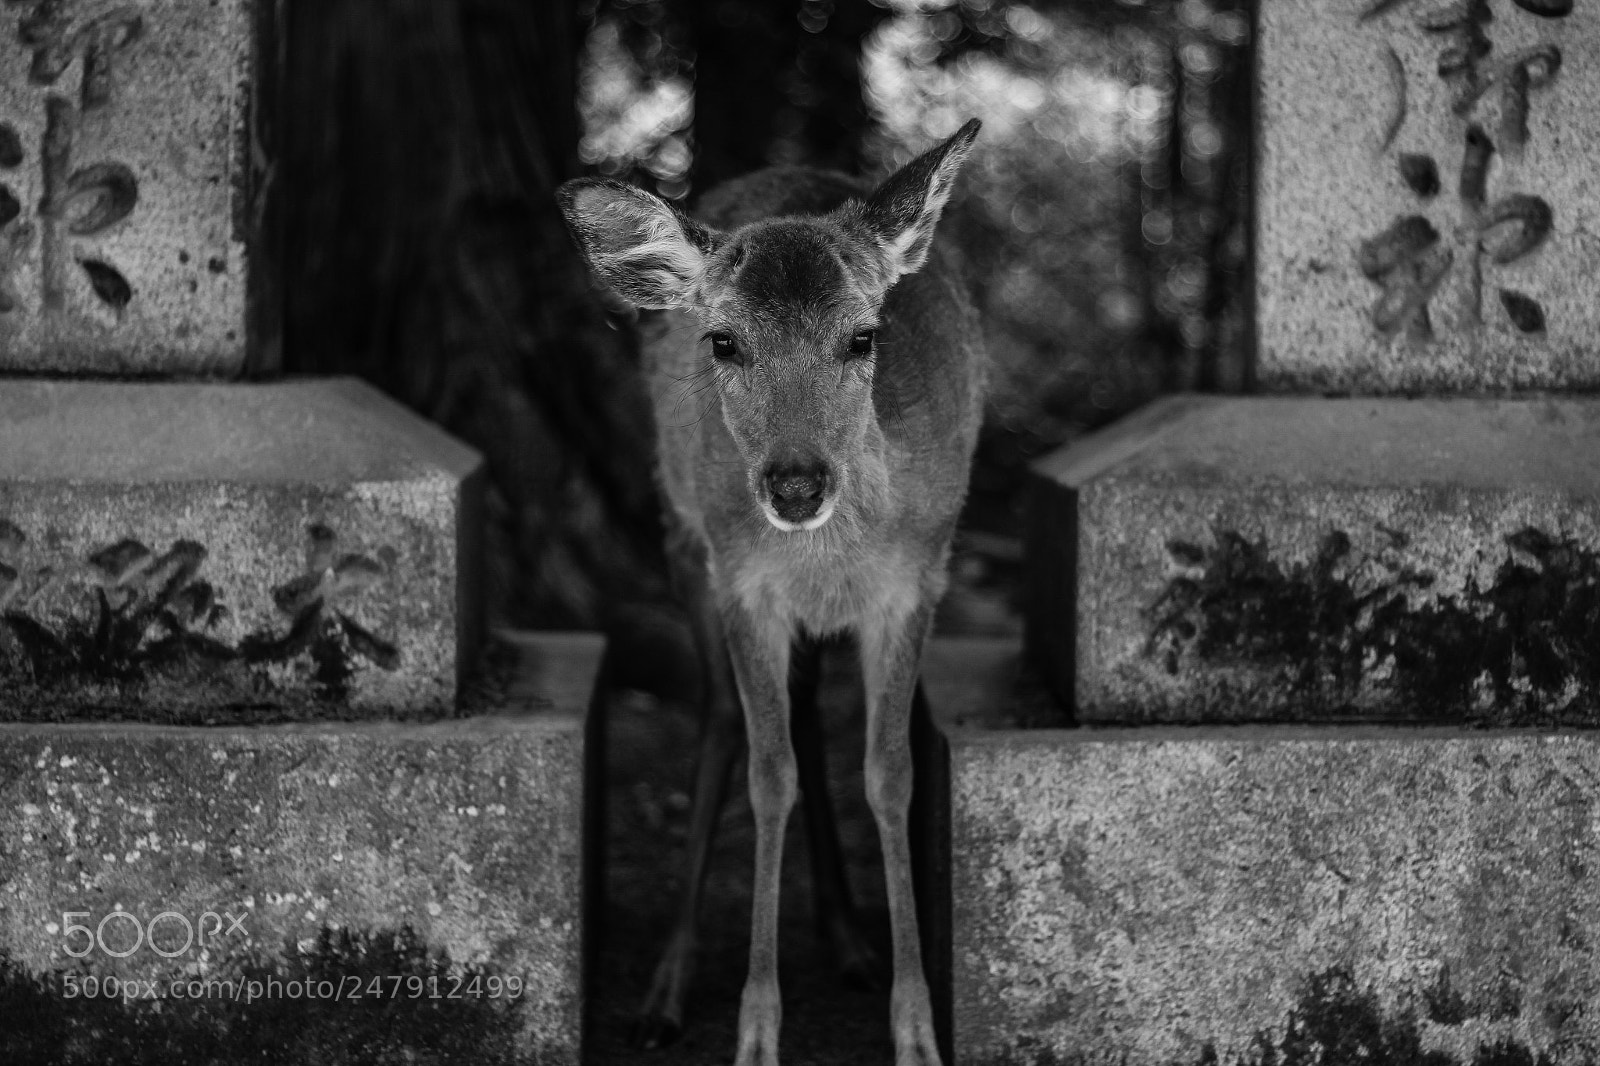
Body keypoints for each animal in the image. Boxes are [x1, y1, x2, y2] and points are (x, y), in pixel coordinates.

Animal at [563, 118, 985, 1062]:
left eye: (863, 337)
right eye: (725, 342)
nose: (795, 486)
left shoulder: (920, 577)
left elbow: (890, 776)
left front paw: (917, 1030)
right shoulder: (745, 585)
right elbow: (768, 775)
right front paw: (756, 1031)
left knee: (807, 714)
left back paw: (849, 938)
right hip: (683, 537)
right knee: (725, 716)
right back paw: (667, 987)